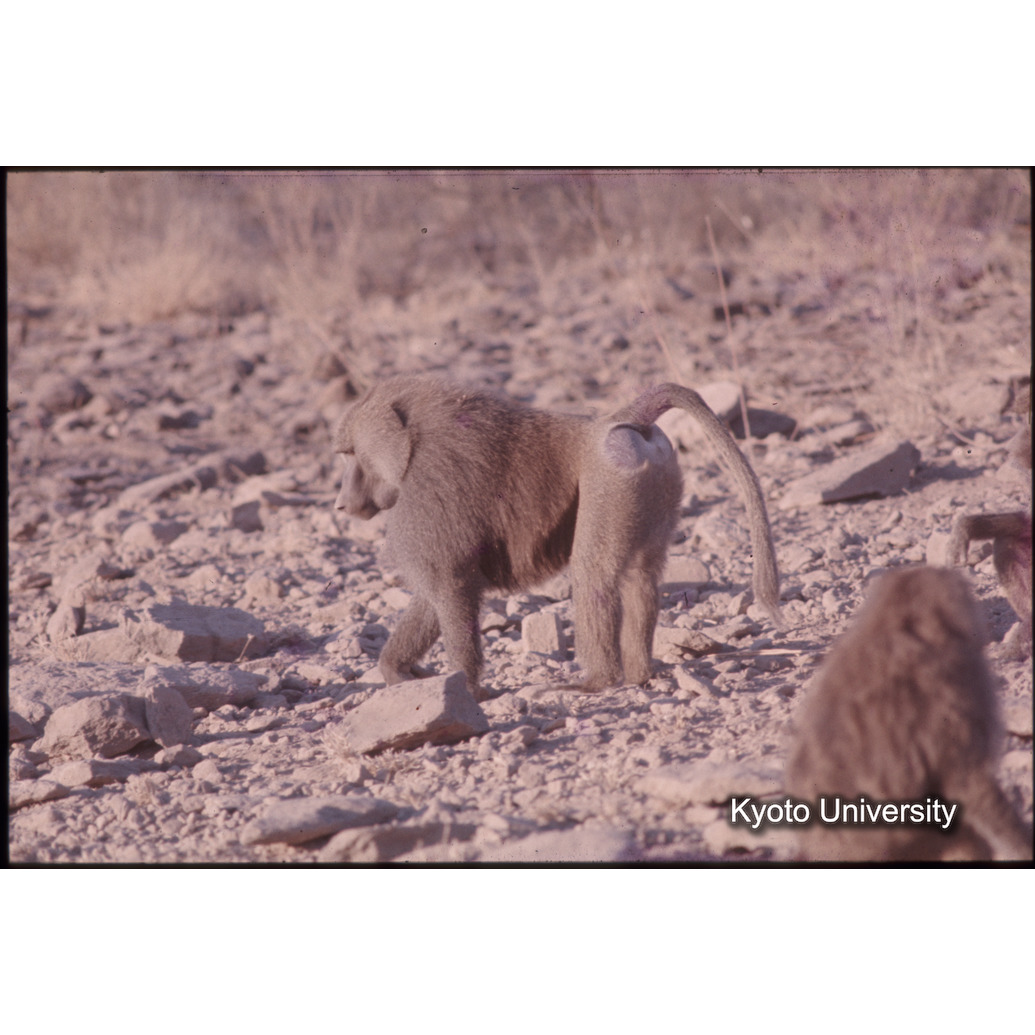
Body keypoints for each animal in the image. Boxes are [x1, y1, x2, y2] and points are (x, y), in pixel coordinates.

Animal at [333, 375, 780, 701]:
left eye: (350, 455)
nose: (339, 504)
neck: (415, 437)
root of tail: (619, 418)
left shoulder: (426, 490)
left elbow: (449, 587)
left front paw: (467, 688)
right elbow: (434, 596)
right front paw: (398, 670)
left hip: (610, 481)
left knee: (593, 574)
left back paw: (596, 681)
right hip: (657, 479)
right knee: (641, 577)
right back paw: (638, 675)